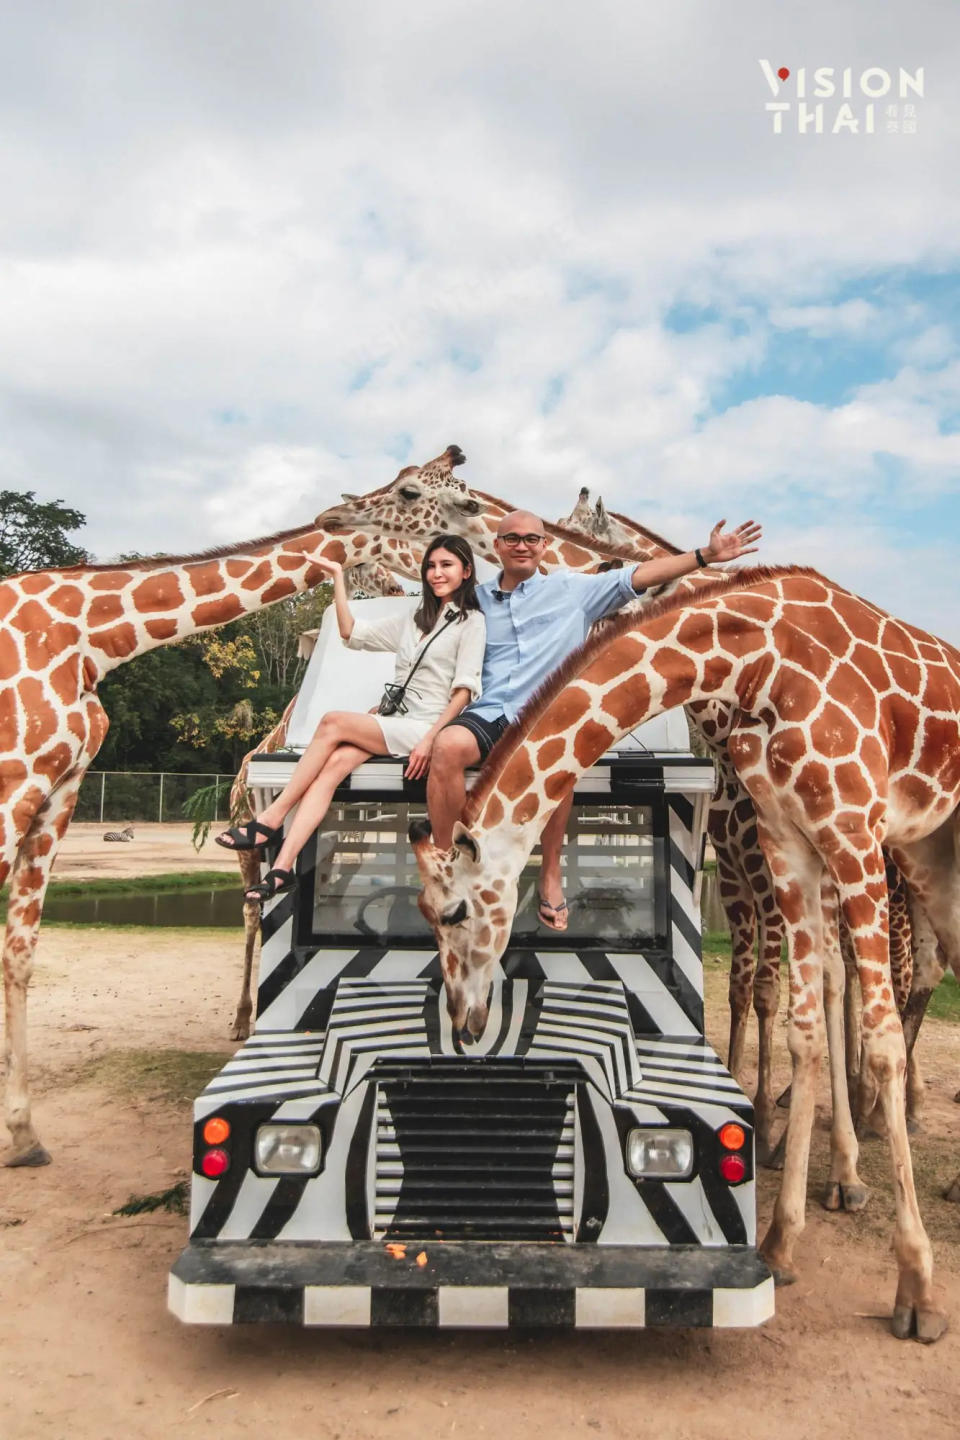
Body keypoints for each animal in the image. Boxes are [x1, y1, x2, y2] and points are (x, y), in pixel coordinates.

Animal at [408, 558, 960, 1336]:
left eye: (453, 911)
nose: (464, 1023)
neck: (757, 661)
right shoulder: (790, 840)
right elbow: (804, 1031)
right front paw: (781, 1243)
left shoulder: (851, 829)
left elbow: (877, 1043)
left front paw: (917, 1287)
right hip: (932, 853)